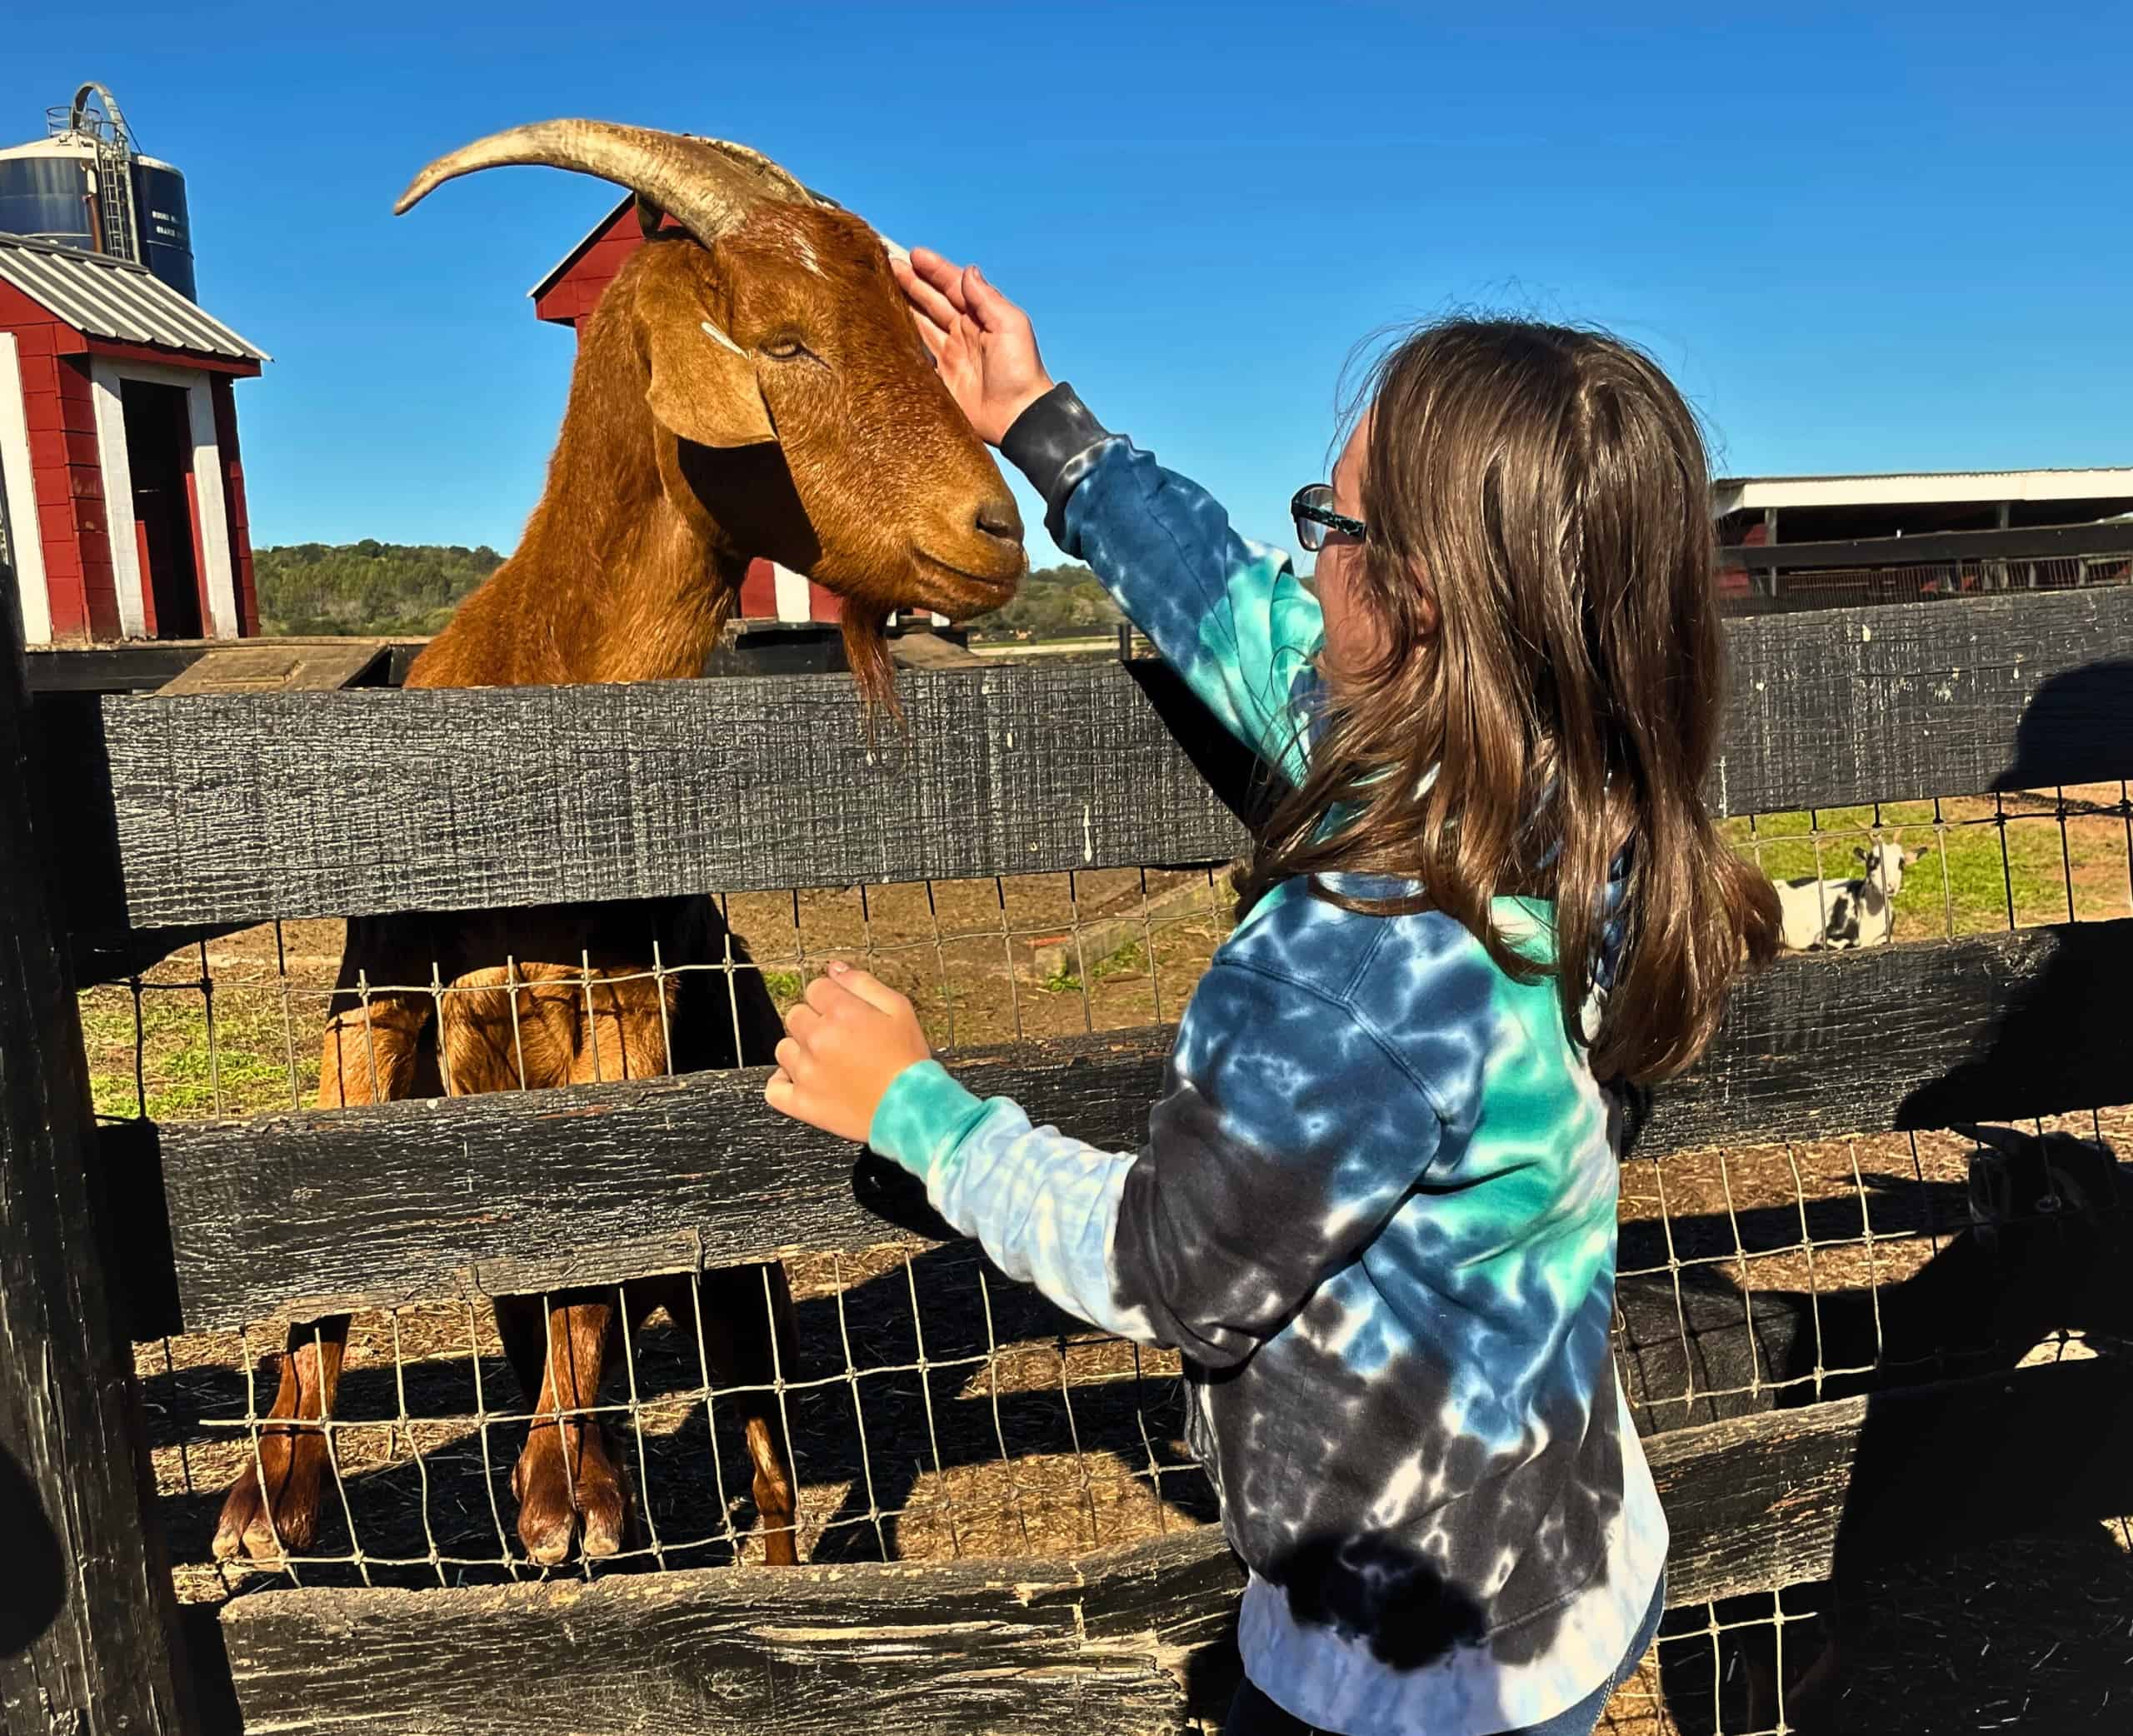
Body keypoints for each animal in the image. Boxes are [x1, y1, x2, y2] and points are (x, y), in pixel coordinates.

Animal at [211, 120, 1026, 1569]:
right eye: (787, 340)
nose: (996, 531)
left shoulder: (632, 999)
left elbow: (593, 1253)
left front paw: (569, 1495)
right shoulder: (378, 987)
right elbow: (321, 1221)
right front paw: (265, 1501)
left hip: (739, 1279)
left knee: (760, 1449)